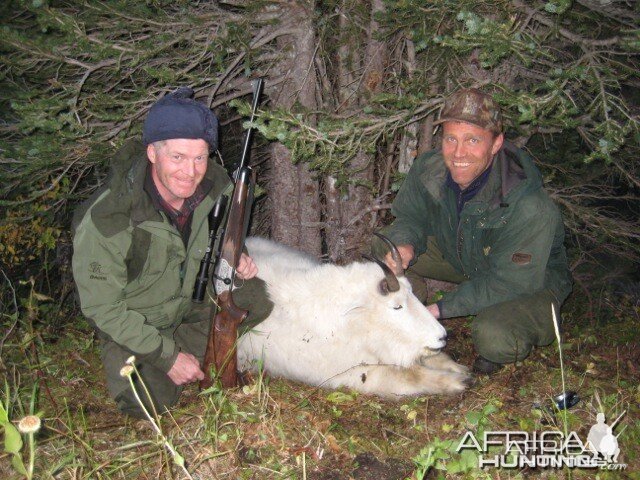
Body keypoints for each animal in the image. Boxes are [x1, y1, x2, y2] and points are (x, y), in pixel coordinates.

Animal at [236, 236, 470, 398]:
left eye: (412, 292)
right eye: (397, 306)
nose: (442, 336)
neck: (354, 320)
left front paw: (460, 369)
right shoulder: (354, 374)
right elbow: (409, 375)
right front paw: (457, 382)